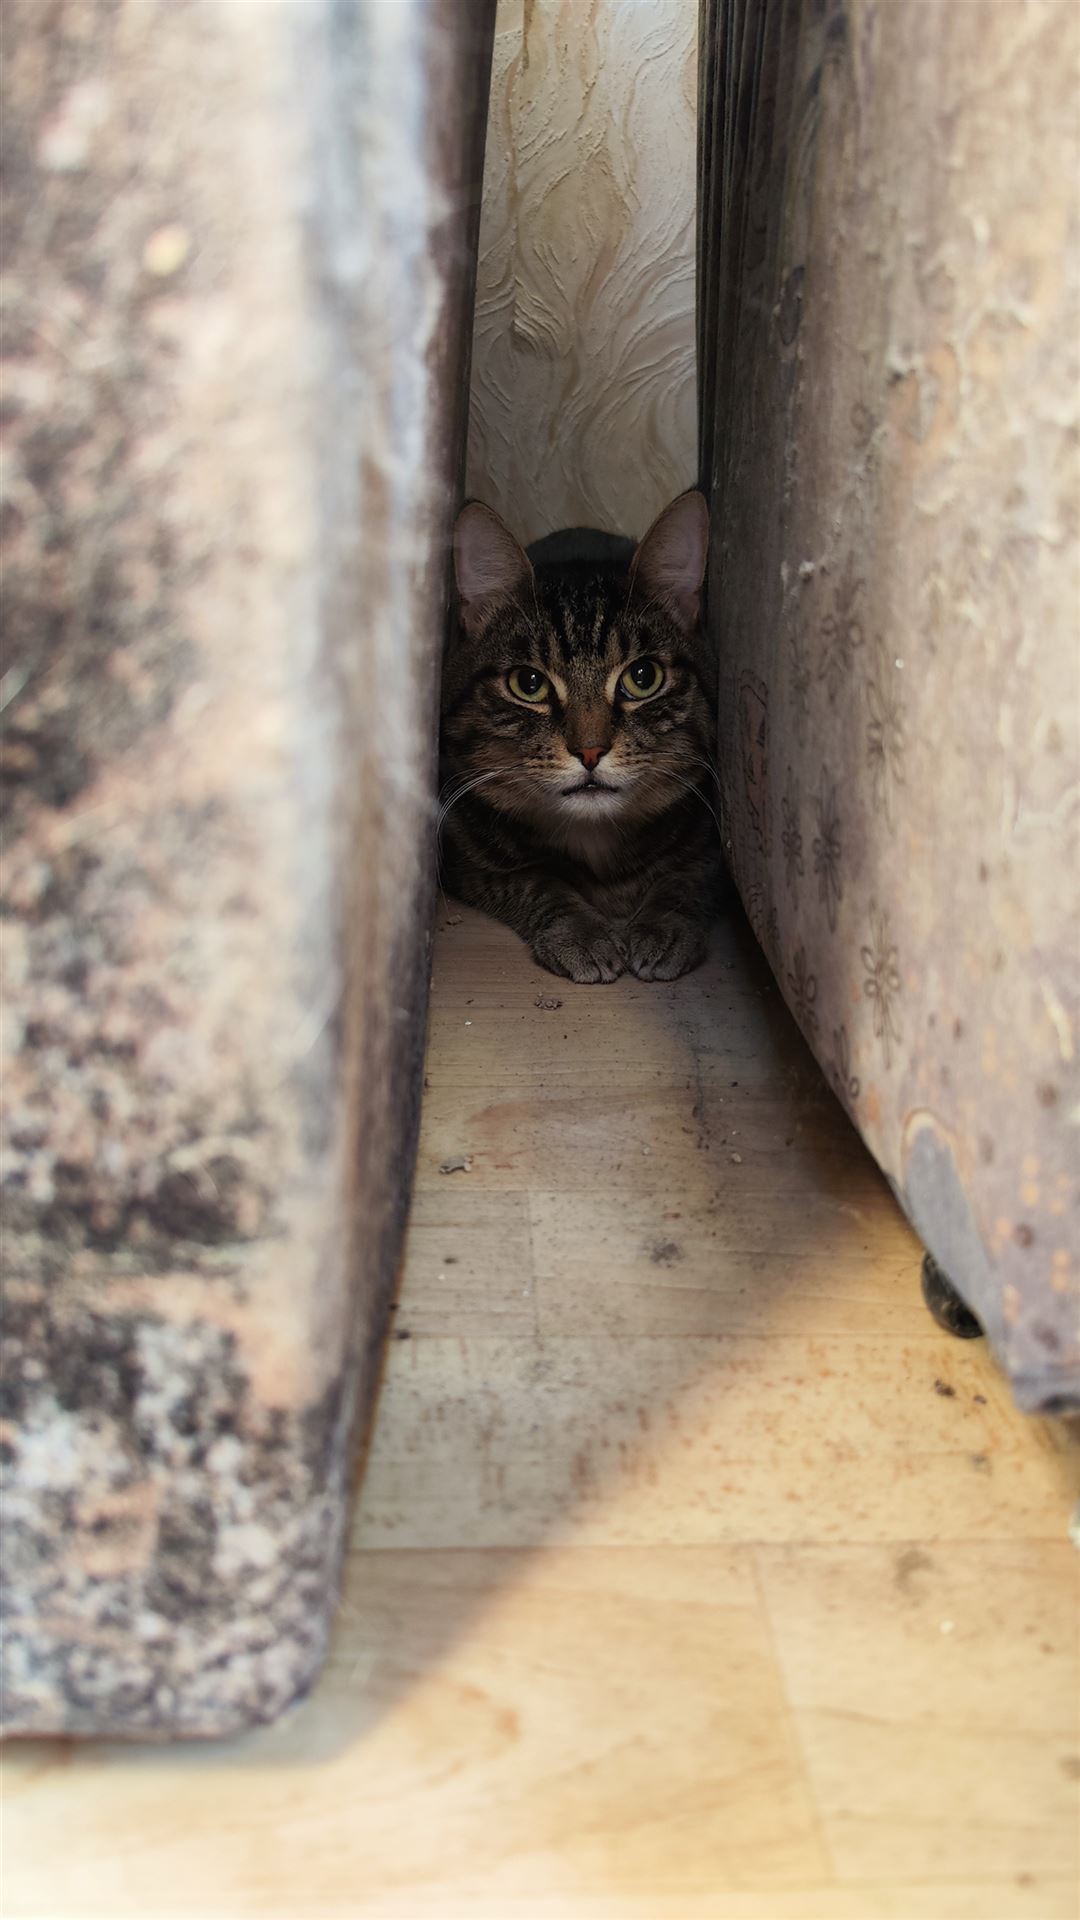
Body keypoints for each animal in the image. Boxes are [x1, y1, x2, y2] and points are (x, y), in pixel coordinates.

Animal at [439, 489, 723, 984]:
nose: (590, 750)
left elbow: (685, 879)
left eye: (643, 677)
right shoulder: (465, 857)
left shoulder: (710, 846)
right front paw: (582, 934)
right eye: (529, 683)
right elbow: (536, 880)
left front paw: (663, 928)